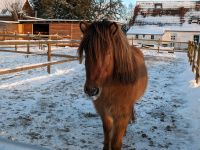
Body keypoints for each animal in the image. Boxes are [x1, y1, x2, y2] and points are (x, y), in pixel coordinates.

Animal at [77, 20, 148, 150]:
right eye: (86, 51)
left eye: (108, 52)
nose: (91, 90)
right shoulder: (104, 112)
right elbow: (107, 134)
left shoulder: (121, 116)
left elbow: (115, 143)